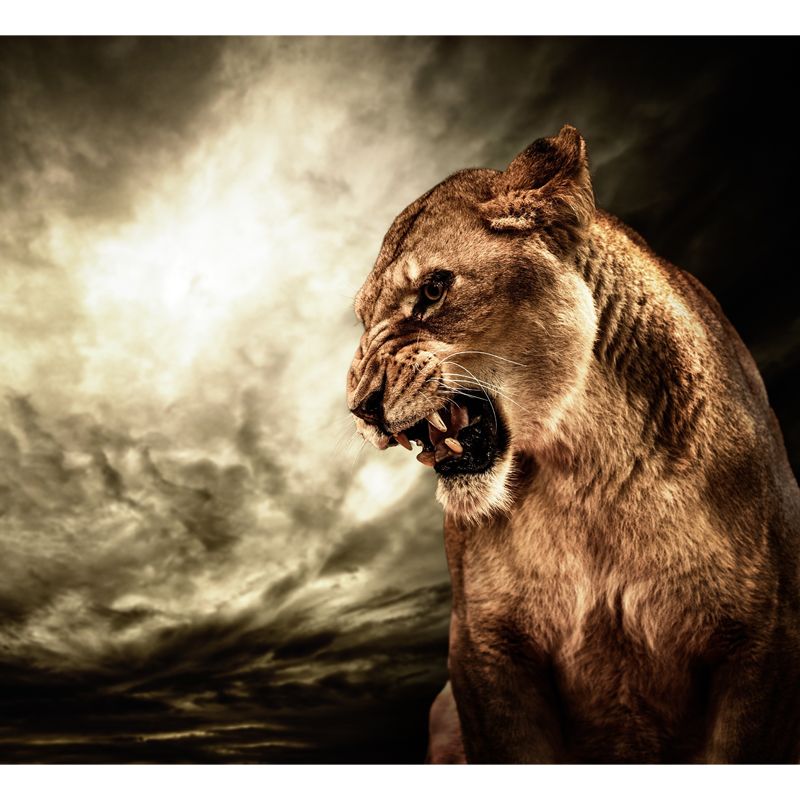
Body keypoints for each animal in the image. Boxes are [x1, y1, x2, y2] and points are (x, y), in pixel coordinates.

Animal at [346, 125, 800, 763]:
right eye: (363, 320)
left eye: (433, 289)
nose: (361, 407)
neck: (591, 468)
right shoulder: (484, 653)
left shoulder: (765, 641)